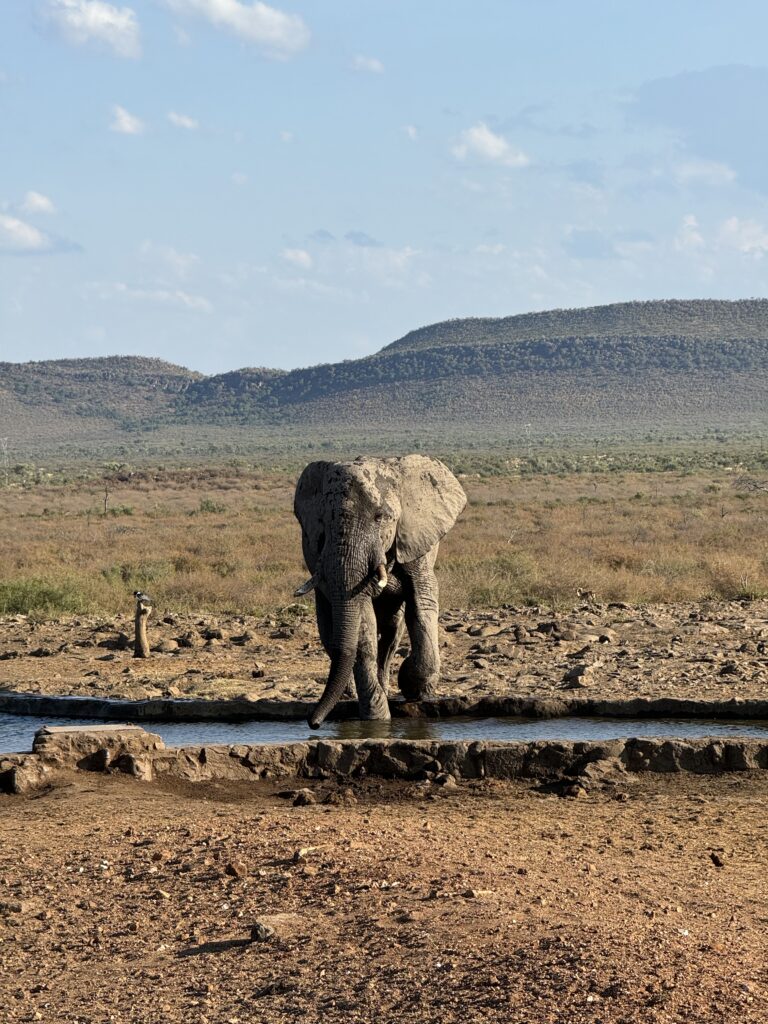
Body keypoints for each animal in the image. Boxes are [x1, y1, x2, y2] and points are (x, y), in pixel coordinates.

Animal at [293, 455, 467, 729]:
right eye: (323, 522)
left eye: (380, 517)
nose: (314, 724)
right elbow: (362, 626)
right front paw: (377, 721)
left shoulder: (413, 536)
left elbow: (422, 600)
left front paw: (414, 686)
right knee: (333, 632)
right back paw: (350, 694)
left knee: (392, 632)